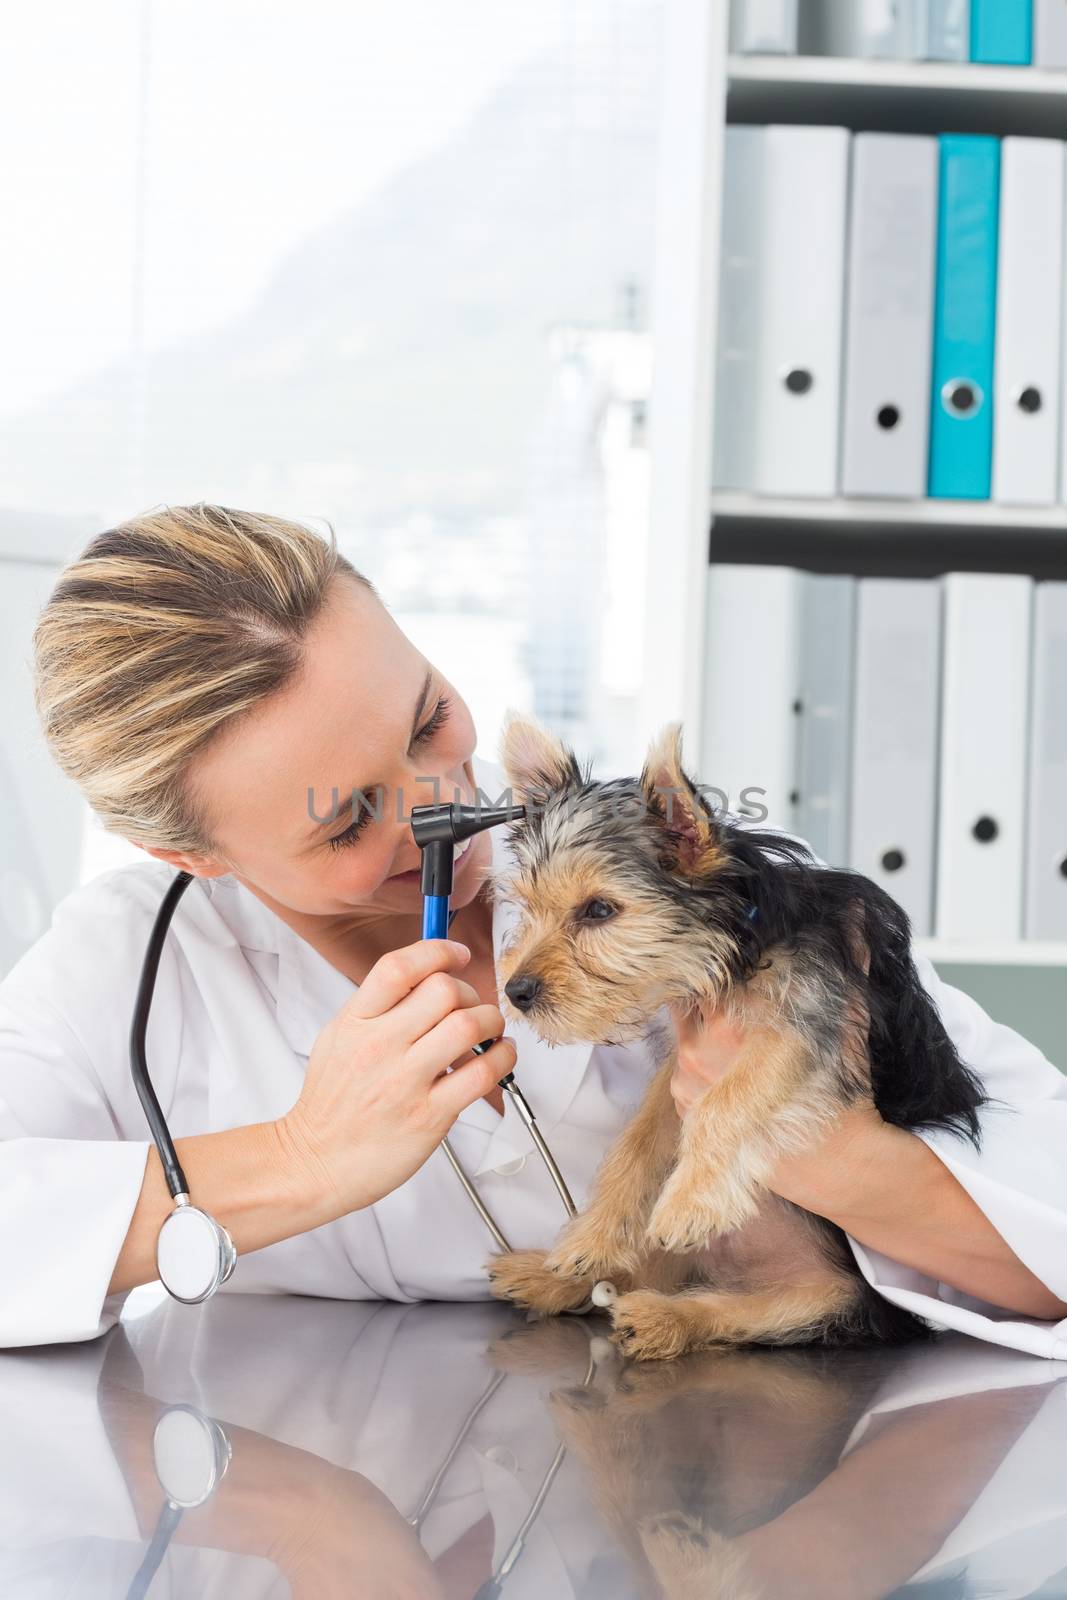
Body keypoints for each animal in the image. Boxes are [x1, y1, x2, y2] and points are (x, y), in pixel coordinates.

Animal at [483, 716, 991, 1363]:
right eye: (526, 908)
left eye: (599, 910)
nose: (516, 990)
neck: (732, 950)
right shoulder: (679, 1069)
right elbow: (638, 1141)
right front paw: (593, 1236)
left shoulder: (807, 1027)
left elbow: (728, 1100)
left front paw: (689, 1203)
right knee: (630, 1276)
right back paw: (553, 1276)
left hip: (826, 1297)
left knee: (745, 1313)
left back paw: (663, 1318)